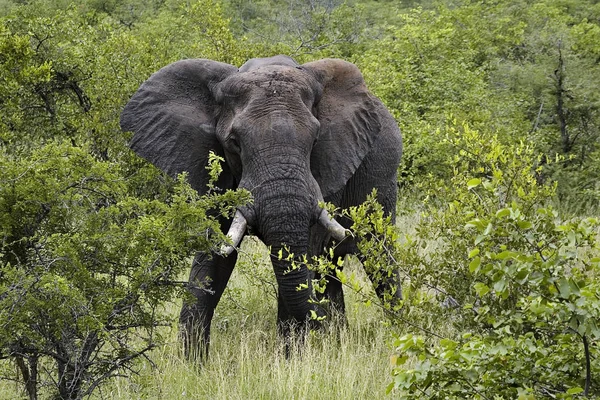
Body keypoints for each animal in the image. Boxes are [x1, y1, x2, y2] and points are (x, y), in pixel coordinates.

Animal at [120, 54, 404, 360]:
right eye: (234, 142)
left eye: (315, 140)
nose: (318, 324)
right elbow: (215, 259)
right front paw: (191, 366)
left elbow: (303, 256)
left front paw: (291, 362)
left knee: (379, 259)